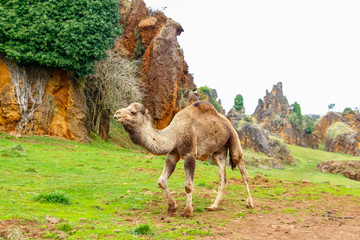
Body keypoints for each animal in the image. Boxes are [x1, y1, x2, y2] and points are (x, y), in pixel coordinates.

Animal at [113, 100, 253, 217]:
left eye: (133, 112)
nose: (116, 113)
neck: (174, 133)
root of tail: (227, 122)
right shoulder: (172, 154)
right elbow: (161, 181)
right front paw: (172, 207)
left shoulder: (190, 154)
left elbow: (188, 185)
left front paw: (187, 212)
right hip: (219, 150)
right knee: (223, 177)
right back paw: (213, 206)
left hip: (234, 139)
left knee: (243, 170)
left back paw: (250, 203)